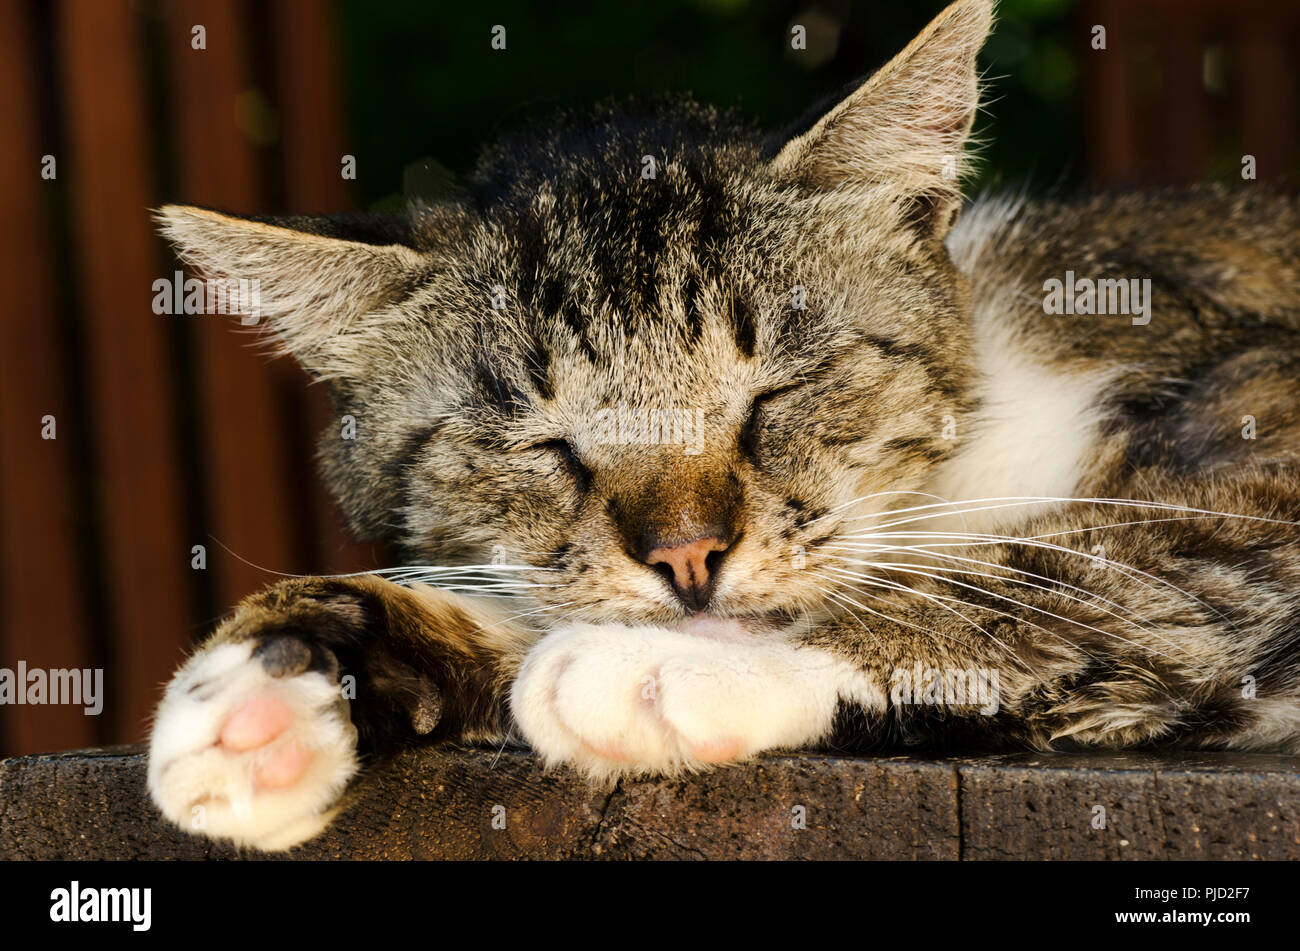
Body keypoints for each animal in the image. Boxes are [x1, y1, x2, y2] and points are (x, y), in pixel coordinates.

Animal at [142, 0, 1300, 852]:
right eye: (545, 447)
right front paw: (264, 687)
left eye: (773, 397)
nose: (688, 557)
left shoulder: (1265, 441)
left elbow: (1067, 568)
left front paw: (668, 668)